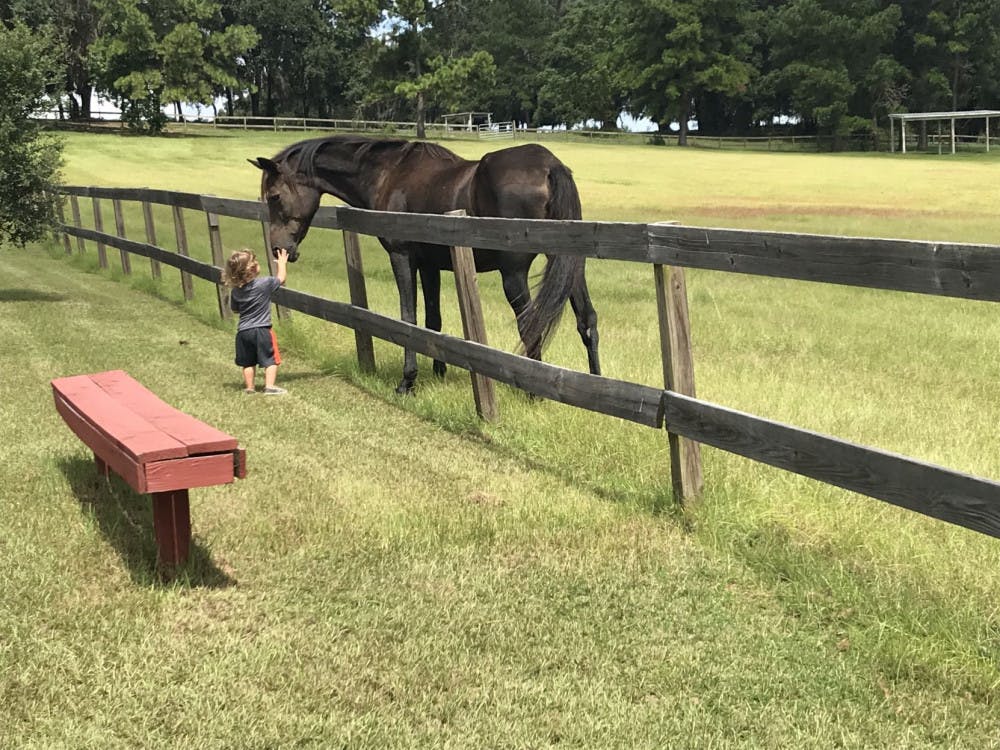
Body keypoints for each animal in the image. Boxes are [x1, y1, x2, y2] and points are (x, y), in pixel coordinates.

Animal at [249, 134, 600, 394]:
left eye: (274, 196)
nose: (279, 248)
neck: (388, 174)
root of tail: (550, 166)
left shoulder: (402, 256)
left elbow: (410, 317)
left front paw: (408, 380)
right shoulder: (430, 266)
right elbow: (433, 319)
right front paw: (438, 370)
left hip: (513, 274)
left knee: (530, 325)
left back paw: (531, 392)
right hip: (570, 267)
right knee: (586, 320)